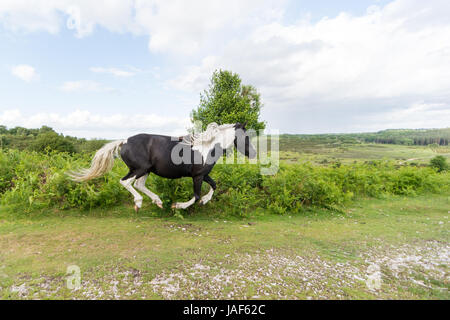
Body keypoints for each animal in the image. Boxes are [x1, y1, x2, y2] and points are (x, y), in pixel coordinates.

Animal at [68, 122, 255, 210]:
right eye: (246, 137)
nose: (253, 154)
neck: (207, 147)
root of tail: (124, 141)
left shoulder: (204, 174)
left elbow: (214, 186)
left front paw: (205, 201)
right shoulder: (197, 176)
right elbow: (195, 196)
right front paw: (178, 206)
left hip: (145, 170)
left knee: (138, 184)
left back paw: (158, 201)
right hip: (139, 169)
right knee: (126, 182)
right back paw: (139, 203)